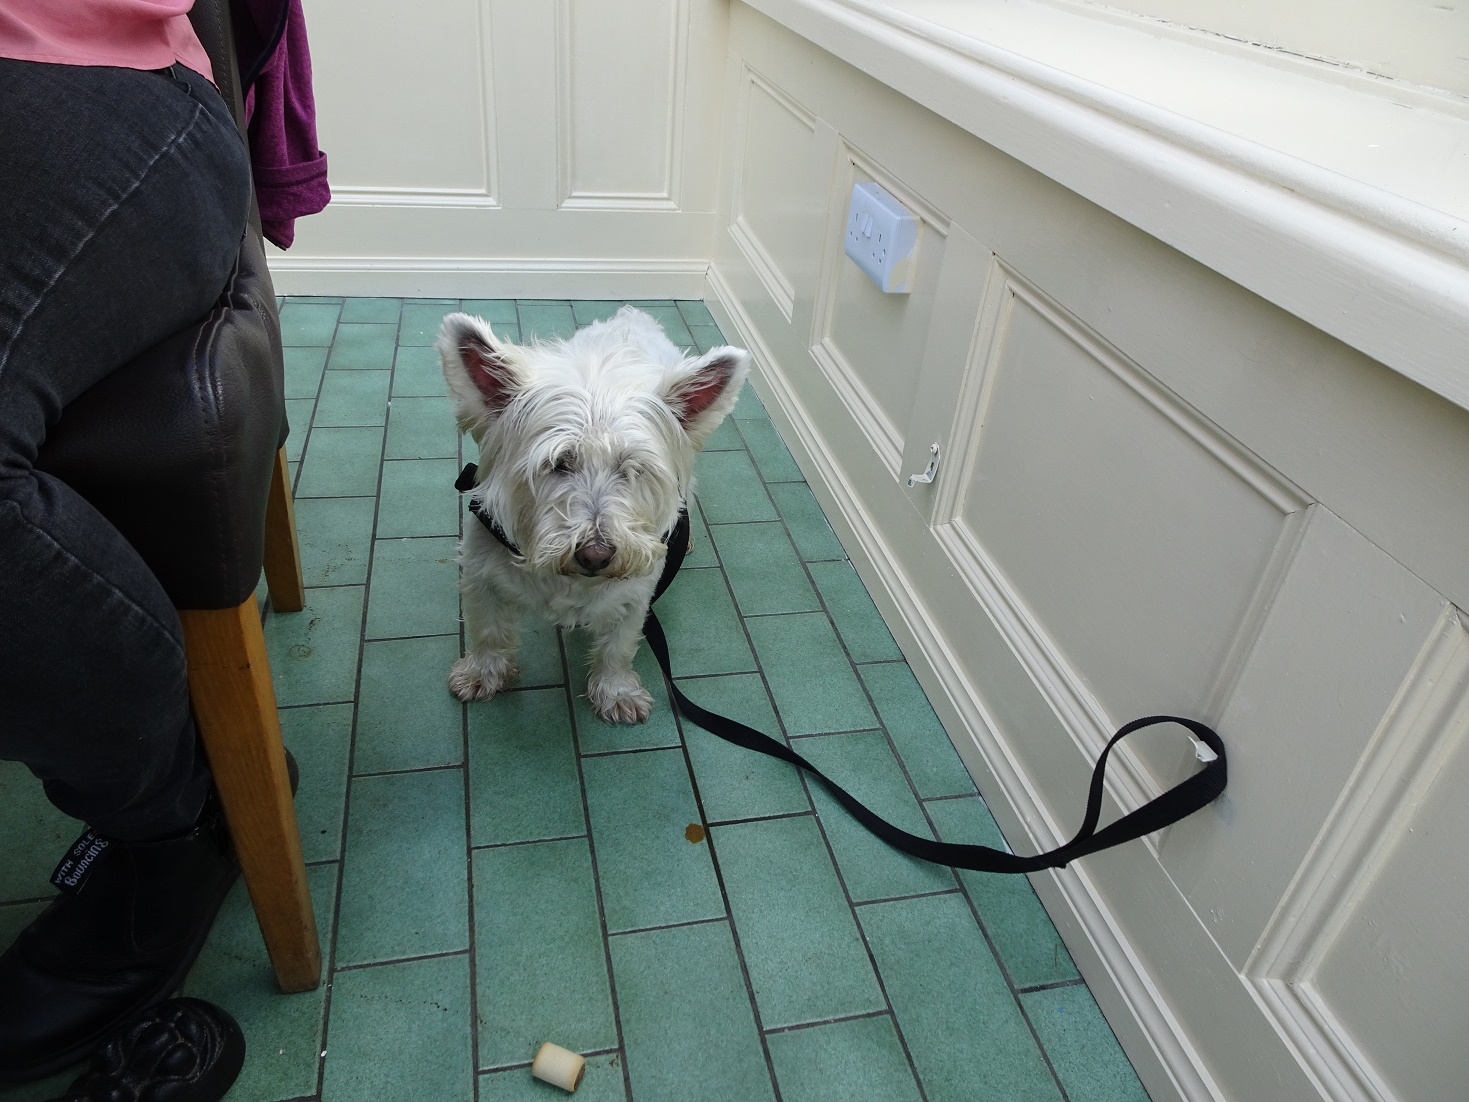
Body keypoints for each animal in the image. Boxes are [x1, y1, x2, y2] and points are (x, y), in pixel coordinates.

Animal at [437, 308, 752, 725]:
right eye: (558, 463)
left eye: (633, 469)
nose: (596, 555)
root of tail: (633, 315)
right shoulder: (480, 574)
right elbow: (488, 630)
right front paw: (481, 674)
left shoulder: (634, 595)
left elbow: (617, 648)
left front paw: (617, 692)